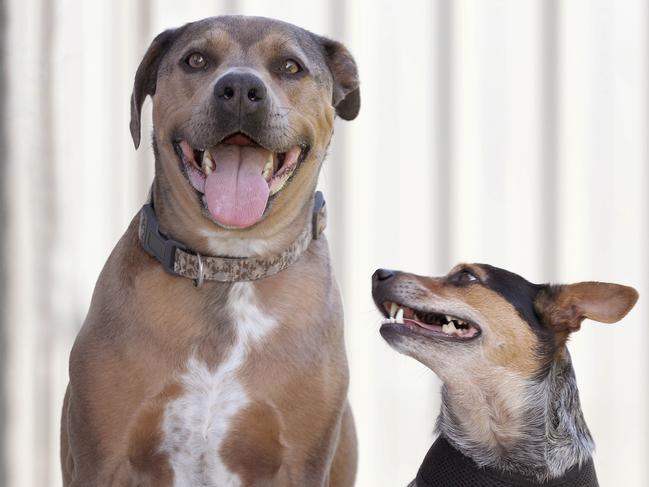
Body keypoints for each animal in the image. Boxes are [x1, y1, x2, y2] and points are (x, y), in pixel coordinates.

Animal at [61, 16, 360, 487]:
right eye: (196, 60)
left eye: (290, 67)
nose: (240, 88)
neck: (229, 269)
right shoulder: (101, 460)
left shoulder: (301, 464)